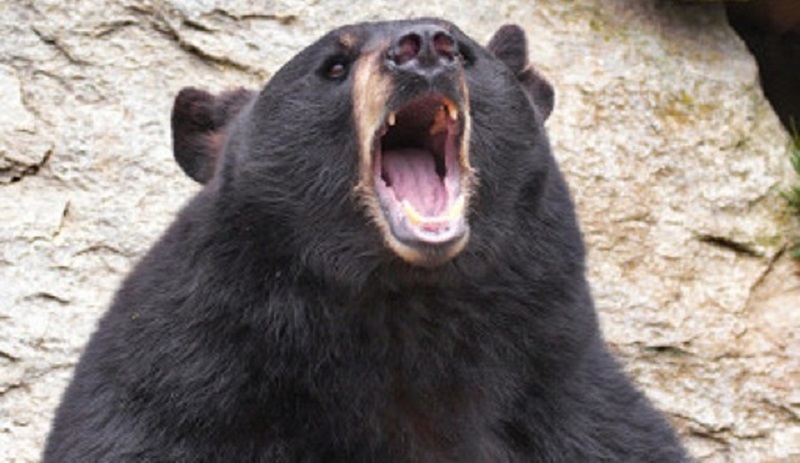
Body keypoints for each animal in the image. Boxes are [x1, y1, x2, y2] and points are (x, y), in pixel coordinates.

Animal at [43, 18, 690, 462]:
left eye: (465, 50)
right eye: (334, 64)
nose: (424, 46)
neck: (406, 308)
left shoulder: (563, 398)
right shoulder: (182, 387)